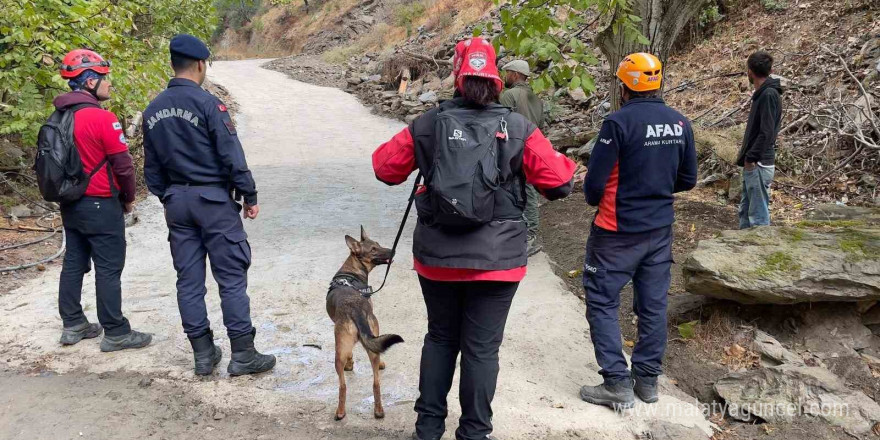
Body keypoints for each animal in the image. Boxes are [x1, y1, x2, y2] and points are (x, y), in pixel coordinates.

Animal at [324, 227, 404, 420]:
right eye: (373, 249)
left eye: (378, 244)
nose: (393, 251)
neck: (351, 271)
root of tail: (356, 310)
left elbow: (351, 355)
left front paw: (350, 364)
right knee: (375, 383)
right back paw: (378, 410)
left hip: (339, 351)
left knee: (343, 386)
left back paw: (340, 411)